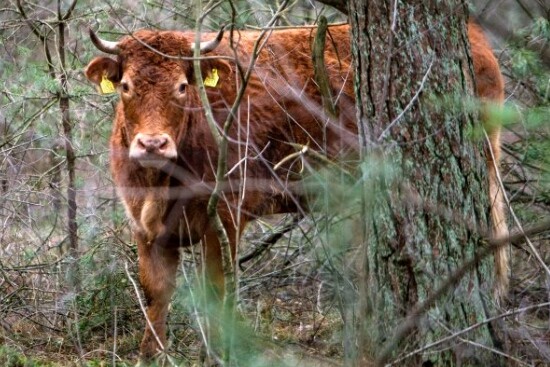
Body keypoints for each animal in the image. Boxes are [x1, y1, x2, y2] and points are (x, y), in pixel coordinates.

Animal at [85, 20, 508, 362]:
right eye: (126, 86)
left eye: (182, 86)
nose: (152, 144)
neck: (160, 183)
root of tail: (474, 36)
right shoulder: (145, 228)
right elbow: (155, 294)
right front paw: (149, 355)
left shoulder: (224, 218)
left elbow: (218, 290)